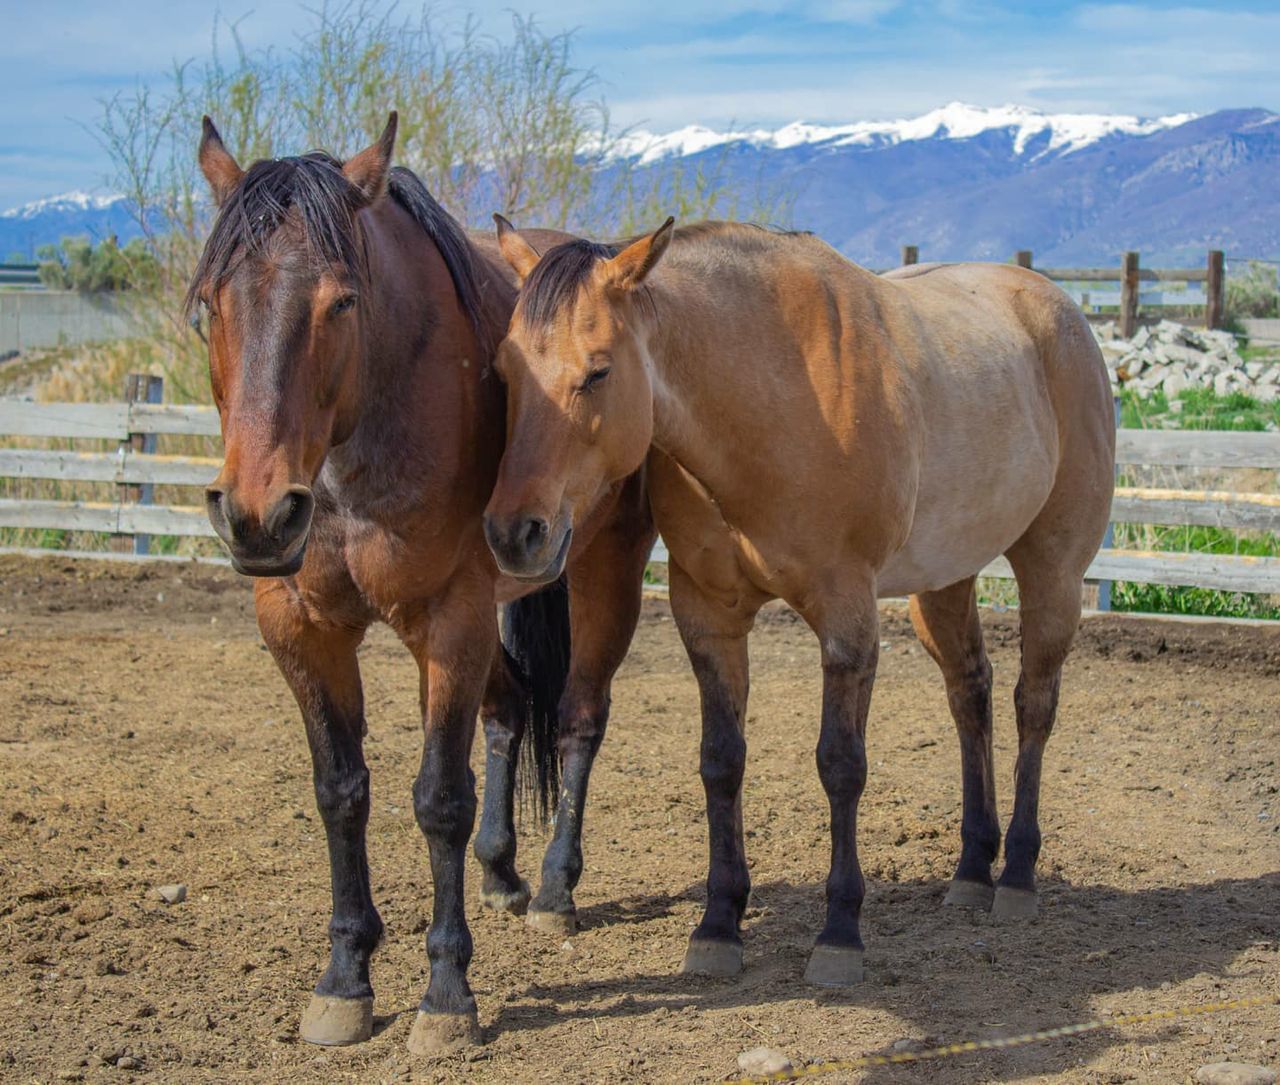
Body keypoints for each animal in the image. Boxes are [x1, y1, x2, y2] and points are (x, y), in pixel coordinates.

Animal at [190, 114, 655, 1054]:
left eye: (342, 302)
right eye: (209, 307)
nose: (258, 513)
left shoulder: (449, 621)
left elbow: (439, 797)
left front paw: (445, 992)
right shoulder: (301, 627)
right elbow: (340, 792)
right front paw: (344, 977)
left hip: (604, 572)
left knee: (579, 719)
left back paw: (555, 886)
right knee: (510, 712)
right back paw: (503, 873)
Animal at [483, 218, 1116, 982]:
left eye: (598, 371)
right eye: (503, 371)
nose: (514, 533)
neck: (773, 398)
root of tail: (1061, 311)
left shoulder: (848, 619)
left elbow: (840, 765)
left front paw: (839, 932)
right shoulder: (709, 618)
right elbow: (721, 761)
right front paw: (719, 923)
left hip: (1053, 570)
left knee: (1034, 705)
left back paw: (1018, 873)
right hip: (943, 582)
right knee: (971, 694)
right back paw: (971, 868)